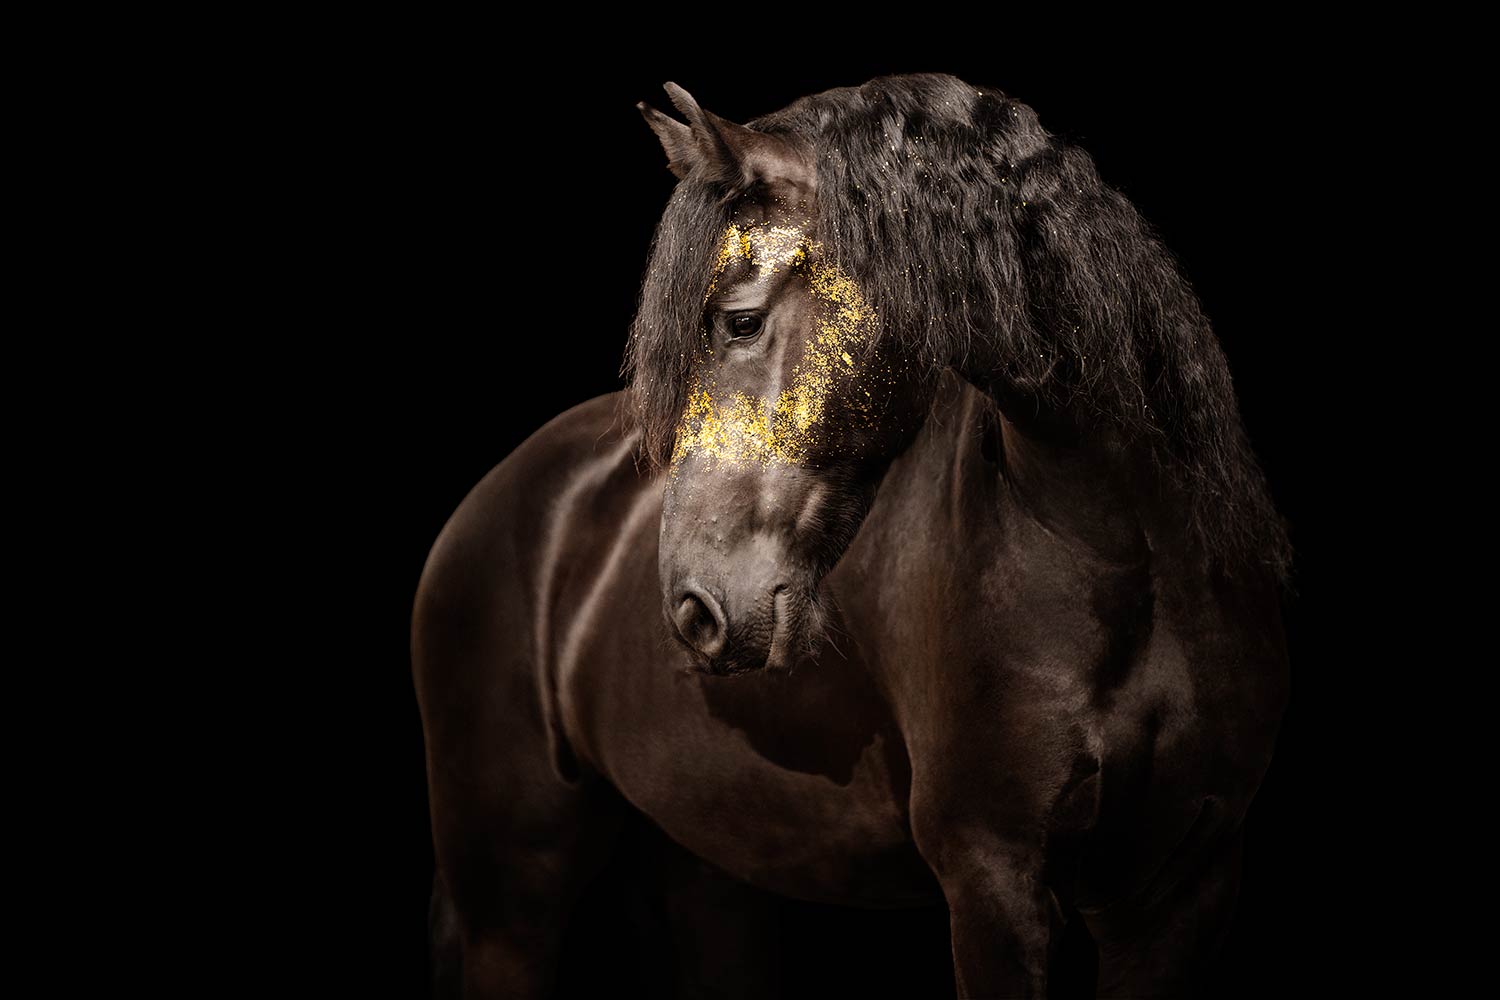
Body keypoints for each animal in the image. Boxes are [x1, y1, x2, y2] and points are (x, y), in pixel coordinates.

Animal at [412, 72, 1292, 998]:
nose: (692, 611)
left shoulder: (1181, 890)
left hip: (708, 874)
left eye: (739, 321)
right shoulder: (995, 879)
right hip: (508, 907)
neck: (1120, 554)